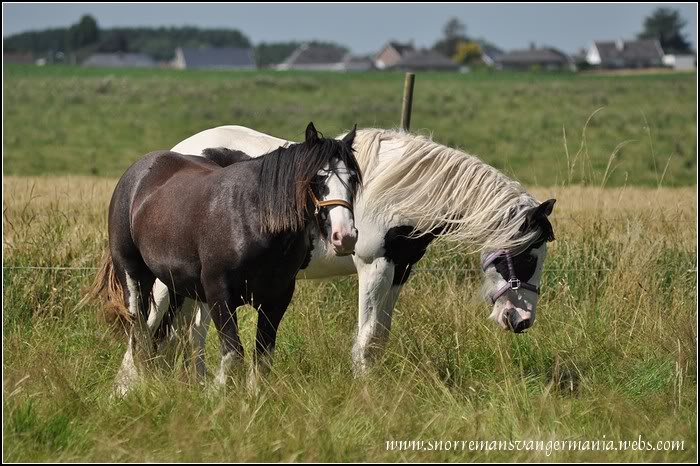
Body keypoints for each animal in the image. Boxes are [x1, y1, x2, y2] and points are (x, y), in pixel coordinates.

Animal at [91, 123, 360, 394]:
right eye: (318, 177)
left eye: (353, 179)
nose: (345, 236)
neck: (252, 219)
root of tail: (141, 170)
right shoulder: (220, 294)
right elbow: (233, 354)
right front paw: (218, 393)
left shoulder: (276, 300)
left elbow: (262, 357)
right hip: (134, 278)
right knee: (141, 332)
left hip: (176, 286)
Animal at [115, 124, 556, 378]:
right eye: (528, 255)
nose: (521, 320)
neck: (402, 192)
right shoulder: (374, 267)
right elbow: (366, 339)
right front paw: (365, 393)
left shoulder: (400, 269)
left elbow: (380, 337)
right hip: (165, 281)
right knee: (148, 327)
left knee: (187, 333)